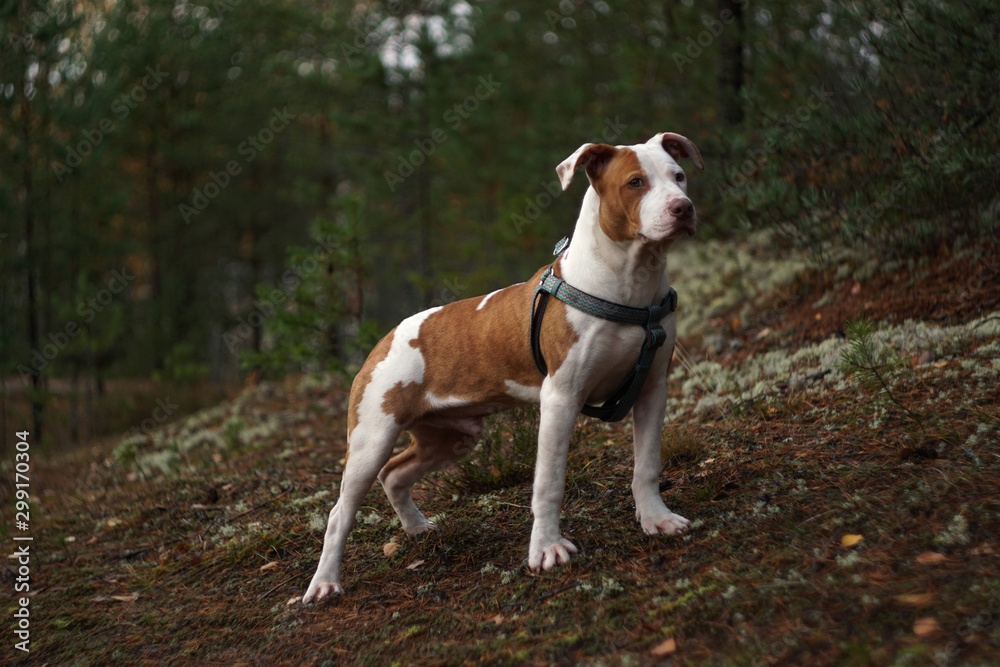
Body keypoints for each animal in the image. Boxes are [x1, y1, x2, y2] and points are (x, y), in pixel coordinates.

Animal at [304, 130, 704, 600]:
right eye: (635, 183)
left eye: (679, 177)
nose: (683, 208)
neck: (630, 283)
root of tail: (384, 340)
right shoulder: (561, 398)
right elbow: (548, 483)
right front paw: (547, 550)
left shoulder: (652, 389)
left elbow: (647, 464)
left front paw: (656, 519)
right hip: (371, 438)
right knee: (340, 512)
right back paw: (325, 583)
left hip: (451, 437)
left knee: (395, 475)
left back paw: (418, 528)